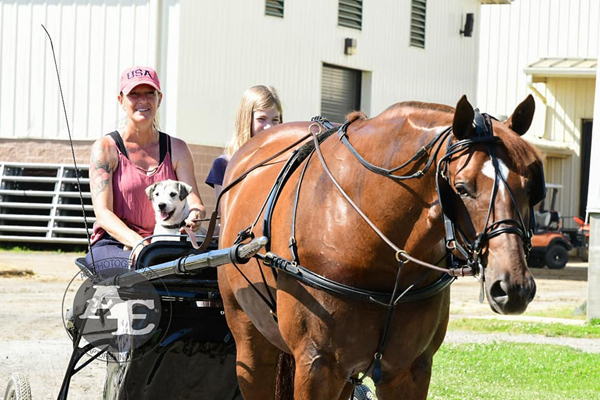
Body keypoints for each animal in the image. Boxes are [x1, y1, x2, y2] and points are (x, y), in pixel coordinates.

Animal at [218, 95, 548, 398]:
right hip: (251, 342)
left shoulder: (408, 371)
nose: (513, 287)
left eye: (531, 188)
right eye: (462, 188)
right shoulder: (316, 365)